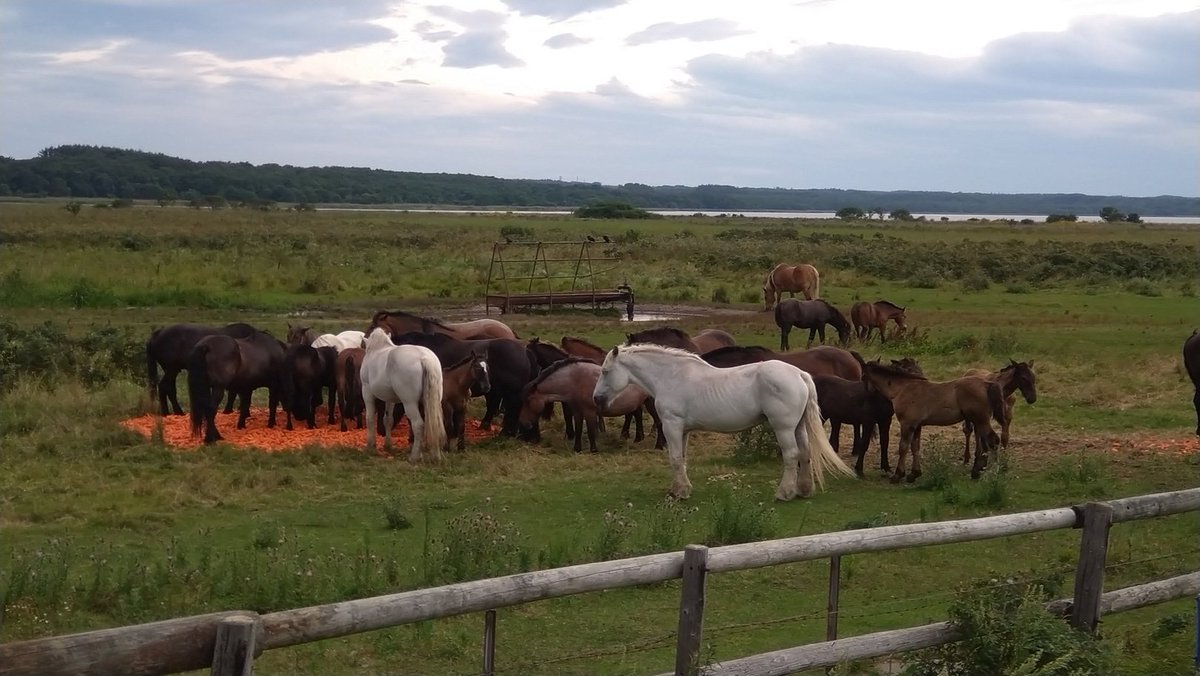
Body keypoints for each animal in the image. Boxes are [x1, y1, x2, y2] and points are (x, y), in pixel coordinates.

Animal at [360, 327, 447, 461]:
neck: (377, 349)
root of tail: (424, 358)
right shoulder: (389, 399)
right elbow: (388, 419)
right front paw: (388, 445)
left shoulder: (367, 391)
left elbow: (369, 418)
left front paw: (371, 446)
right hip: (432, 401)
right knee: (433, 424)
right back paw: (435, 455)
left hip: (409, 403)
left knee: (418, 424)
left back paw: (414, 456)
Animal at [519, 358, 648, 453]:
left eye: (528, 401)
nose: (523, 422)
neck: (575, 380)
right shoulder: (577, 412)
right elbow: (579, 430)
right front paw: (577, 449)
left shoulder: (590, 412)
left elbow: (591, 431)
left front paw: (593, 450)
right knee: (637, 414)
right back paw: (638, 438)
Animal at [592, 344, 855, 500]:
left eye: (605, 371)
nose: (596, 399)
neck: (671, 376)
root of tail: (799, 374)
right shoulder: (683, 430)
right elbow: (682, 459)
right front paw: (681, 489)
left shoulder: (671, 426)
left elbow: (675, 458)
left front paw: (679, 493)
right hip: (799, 427)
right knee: (805, 453)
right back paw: (804, 490)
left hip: (783, 428)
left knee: (791, 455)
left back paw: (784, 492)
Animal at [861, 359, 1007, 483]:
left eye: (863, 376)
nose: (867, 390)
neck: (904, 388)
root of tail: (986, 384)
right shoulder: (917, 425)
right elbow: (915, 447)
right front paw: (914, 474)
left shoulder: (907, 424)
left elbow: (903, 447)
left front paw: (898, 475)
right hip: (979, 421)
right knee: (987, 443)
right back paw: (977, 472)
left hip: (981, 420)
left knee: (993, 441)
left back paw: (993, 472)